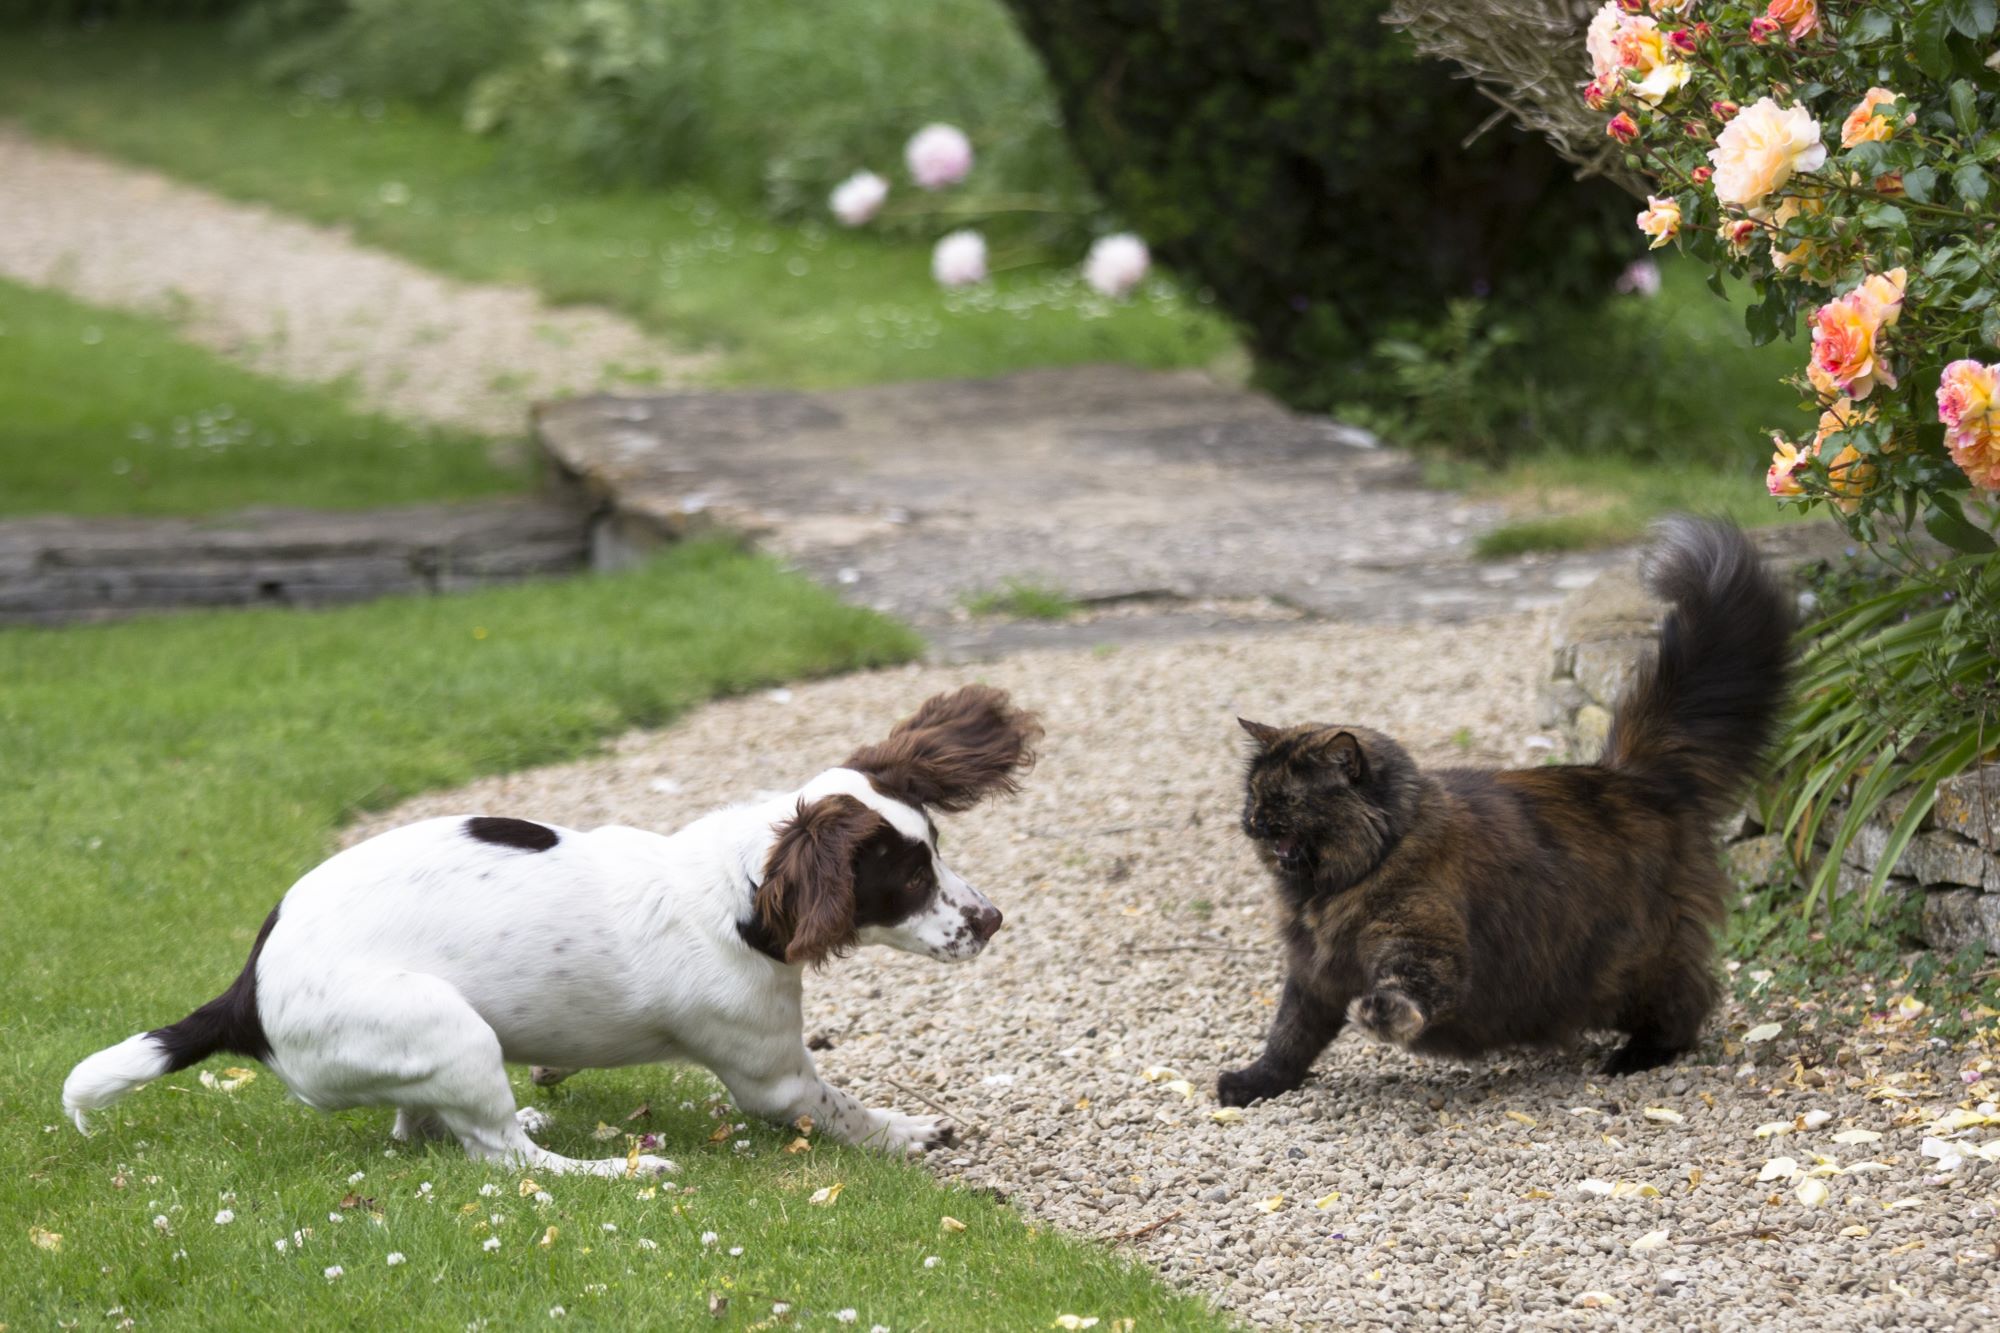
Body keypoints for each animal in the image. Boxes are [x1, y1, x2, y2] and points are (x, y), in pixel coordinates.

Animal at [66, 684, 1032, 1176]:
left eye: (937, 846)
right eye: (908, 877)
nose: (991, 920)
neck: (736, 887)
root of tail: (246, 992)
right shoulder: (773, 1075)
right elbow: (843, 1109)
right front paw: (910, 1131)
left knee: (431, 1127)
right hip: (446, 1026)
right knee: (509, 1160)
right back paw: (617, 1168)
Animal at [1216, 512, 1800, 1096]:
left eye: (1287, 799)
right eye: (1254, 794)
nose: (1254, 822)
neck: (1343, 881)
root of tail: (1631, 775)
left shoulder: (1422, 943)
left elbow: (1405, 990)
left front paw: (1381, 1015)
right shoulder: (1313, 976)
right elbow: (1289, 1037)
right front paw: (1254, 1083)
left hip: (1627, 966)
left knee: (1689, 1001)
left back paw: (1638, 1056)